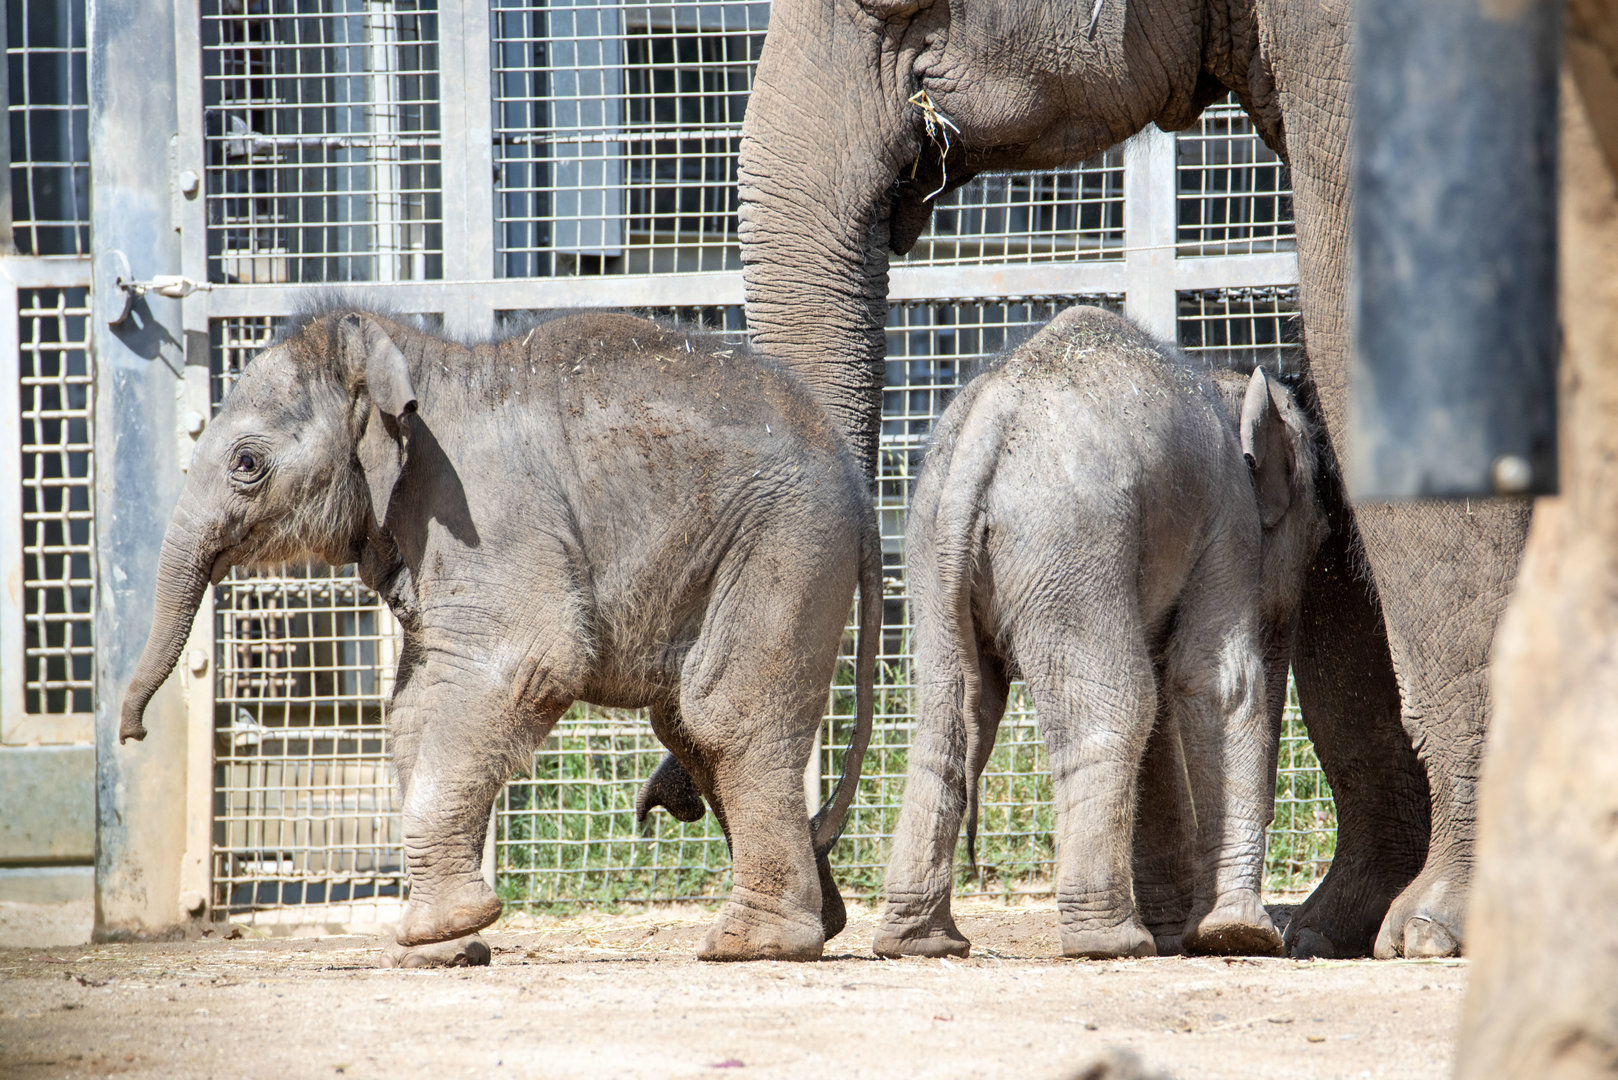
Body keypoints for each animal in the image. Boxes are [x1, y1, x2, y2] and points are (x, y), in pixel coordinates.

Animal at [117, 305, 881, 964]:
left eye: (246, 464)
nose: (131, 732)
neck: (420, 360)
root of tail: (858, 478)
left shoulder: (486, 510)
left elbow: (523, 664)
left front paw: (443, 929)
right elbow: (414, 709)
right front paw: (446, 952)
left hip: (785, 542)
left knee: (721, 717)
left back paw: (754, 944)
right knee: (690, 728)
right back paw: (822, 922)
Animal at [874, 306, 1324, 960]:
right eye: (1317, 542)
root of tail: (989, 423)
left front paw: (1182, 935)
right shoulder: (1228, 517)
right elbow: (1212, 681)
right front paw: (1238, 933)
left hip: (929, 547)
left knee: (950, 719)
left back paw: (921, 942)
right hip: (1069, 540)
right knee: (1119, 704)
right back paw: (1110, 941)